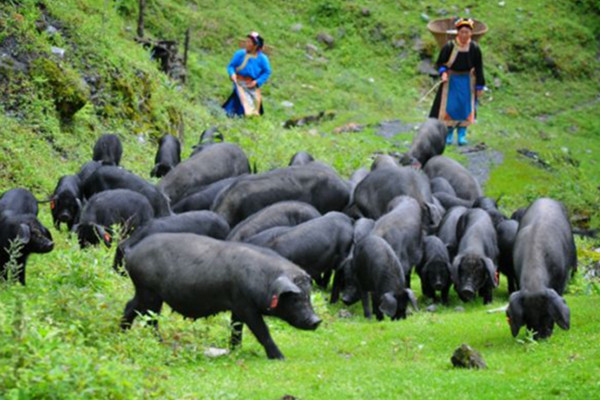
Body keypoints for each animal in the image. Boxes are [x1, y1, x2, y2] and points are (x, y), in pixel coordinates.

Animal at [119, 231, 322, 360]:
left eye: (308, 295)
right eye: (295, 298)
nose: (316, 320)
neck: (265, 280)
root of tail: (132, 252)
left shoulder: (237, 307)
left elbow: (236, 329)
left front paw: (235, 350)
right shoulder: (245, 305)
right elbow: (261, 331)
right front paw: (280, 358)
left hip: (147, 292)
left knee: (133, 308)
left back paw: (124, 333)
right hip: (148, 291)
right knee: (147, 317)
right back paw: (158, 342)